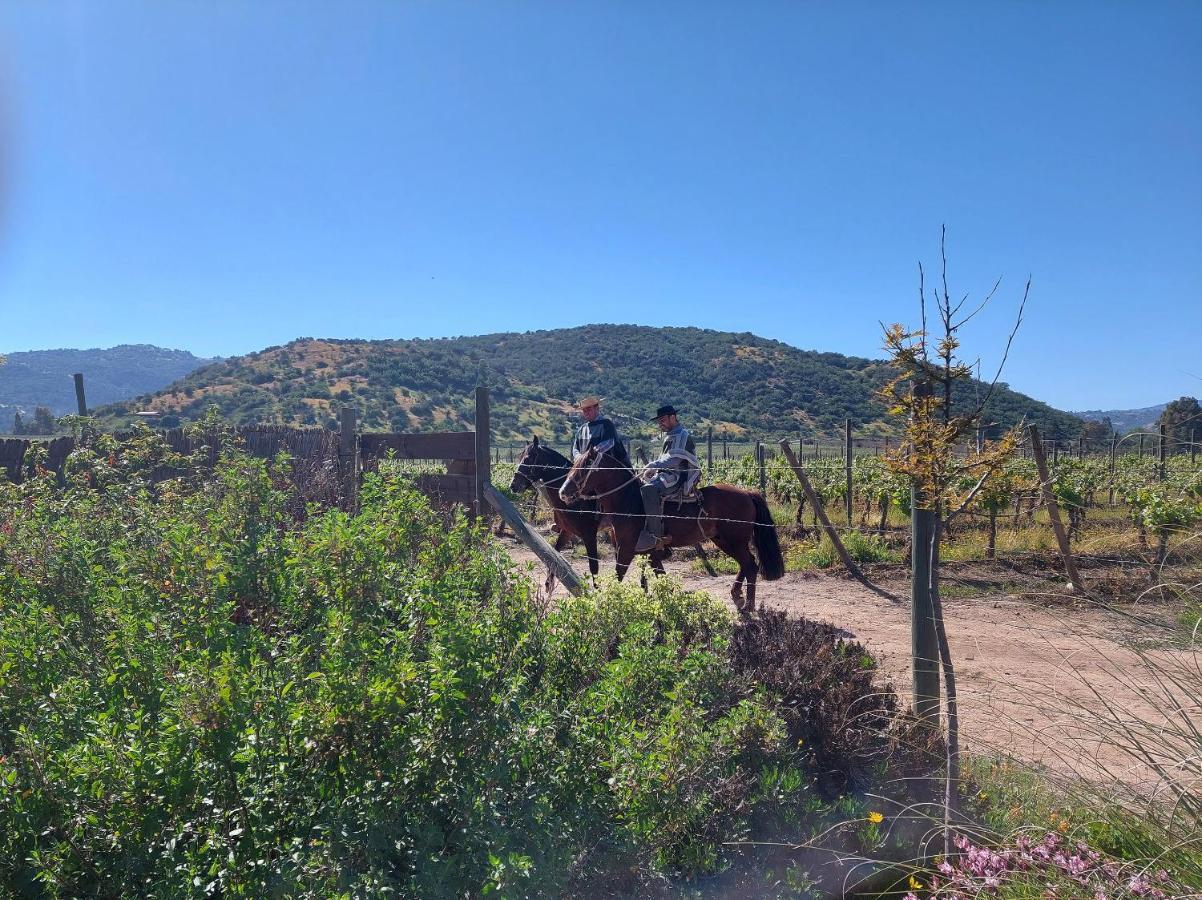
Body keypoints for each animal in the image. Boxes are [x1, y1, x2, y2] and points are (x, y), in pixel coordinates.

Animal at [557, 446, 783, 610]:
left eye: (585, 467)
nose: (563, 492)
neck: (629, 501)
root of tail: (747, 493)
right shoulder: (648, 552)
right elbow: (656, 577)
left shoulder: (627, 549)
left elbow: (618, 575)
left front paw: (606, 602)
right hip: (723, 540)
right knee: (746, 564)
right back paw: (737, 596)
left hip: (734, 541)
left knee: (750, 565)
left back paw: (748, 606)